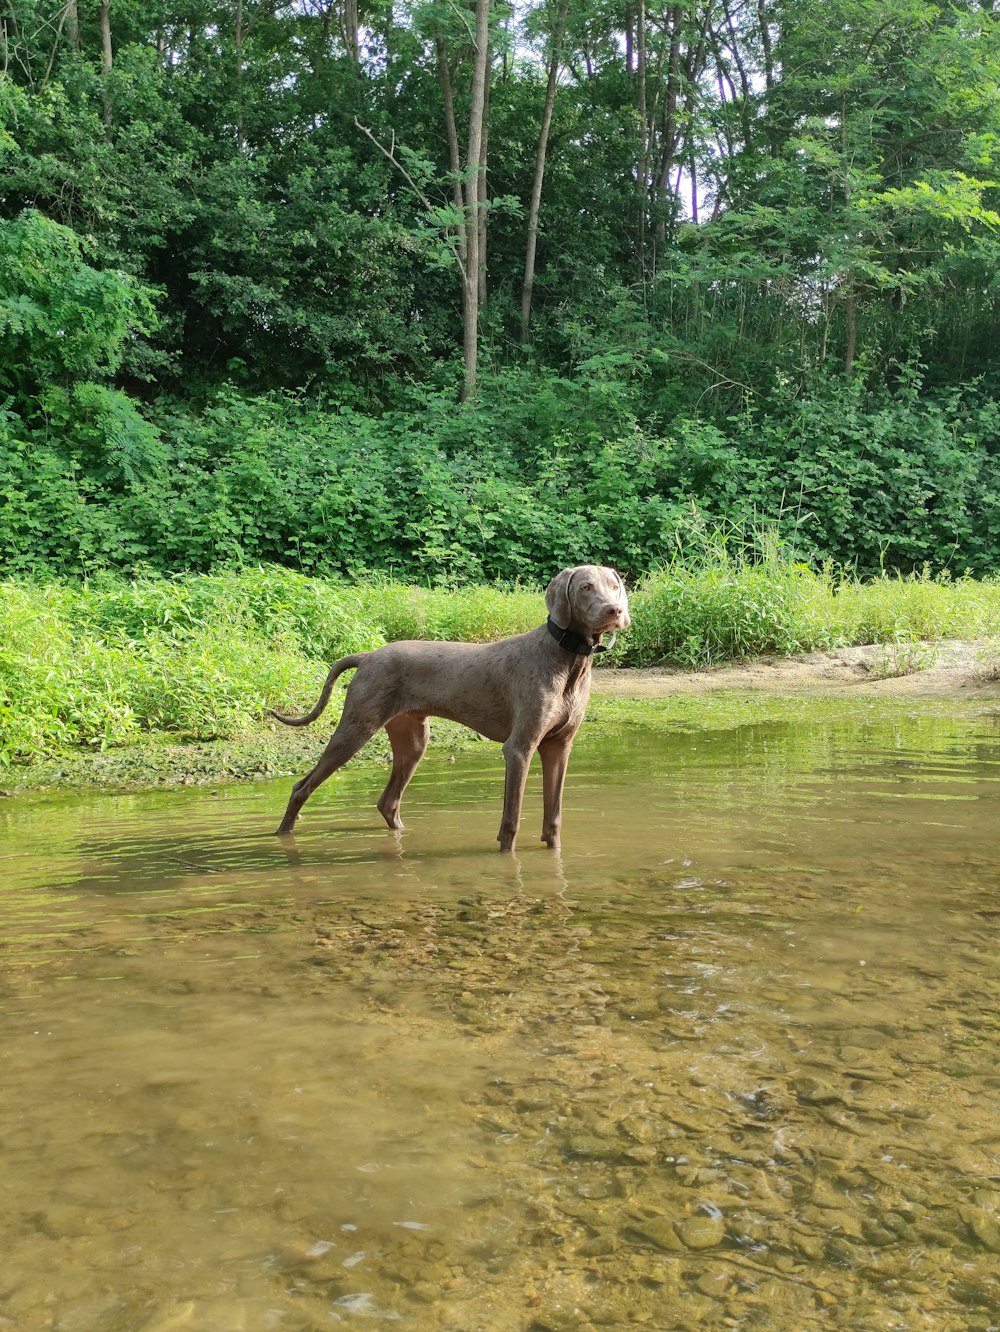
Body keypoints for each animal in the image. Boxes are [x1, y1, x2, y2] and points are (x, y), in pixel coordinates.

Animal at [270, 564, 628, 852]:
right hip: (356, 728)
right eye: (585, 587)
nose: (615, 611)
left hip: (413, 740)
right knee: (301, 788)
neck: (569, 660)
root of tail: (368, 655)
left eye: (613, 586)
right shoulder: (519, 748)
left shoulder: (560, 746)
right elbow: (511, 822)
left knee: (389, 801)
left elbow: (553, 820)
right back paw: (283, 835)